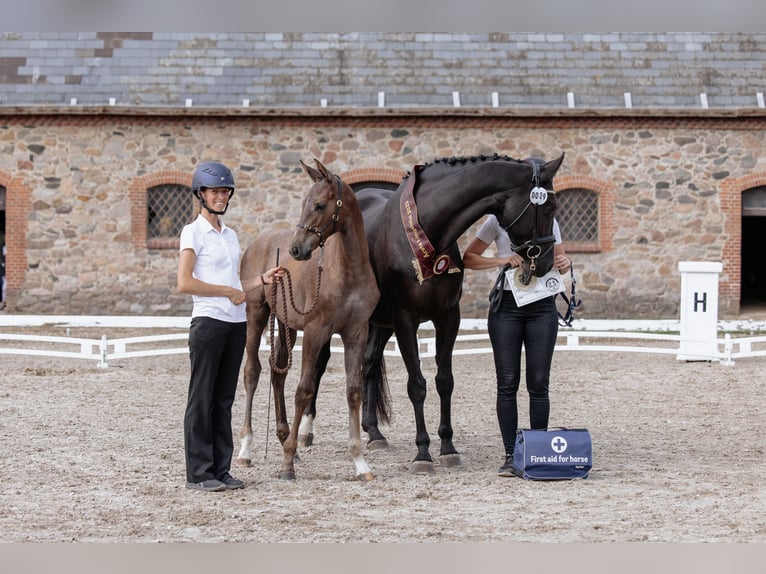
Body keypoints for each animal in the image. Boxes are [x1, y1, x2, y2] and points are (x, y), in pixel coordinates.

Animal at [234, 160, 378, 484]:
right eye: (303, 204)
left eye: (320, 205)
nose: (296, 250)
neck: (346, 272)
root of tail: (257, 242)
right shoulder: (316, 332)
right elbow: (304, 390)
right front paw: (287, 464)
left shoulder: (356, 333)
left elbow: (354, 391)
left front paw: (360, 463)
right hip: (256, 312)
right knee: (252, 372)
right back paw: (247, 449)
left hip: (285, 323)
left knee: (277, 373)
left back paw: (283, 438)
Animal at [300, 153, 564, 472]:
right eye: (549, 207)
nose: (547, 261)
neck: (428, 232)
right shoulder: (405, 320)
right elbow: (417, 385)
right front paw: (423, 452)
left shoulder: (448, 317)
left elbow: (444, 381)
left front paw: (448, 447)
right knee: (320, 364)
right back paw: (306, 431)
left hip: (379, 322)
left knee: (369, 363)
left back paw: (374, 433)